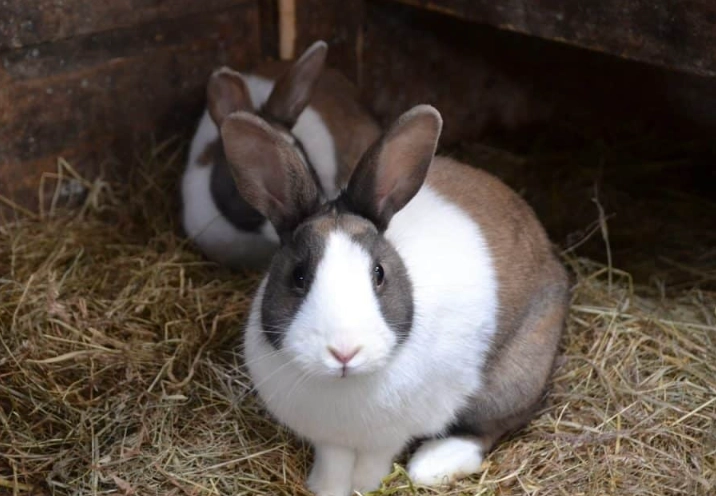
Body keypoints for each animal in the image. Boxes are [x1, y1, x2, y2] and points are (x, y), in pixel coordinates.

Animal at [220, 104, 570, 495]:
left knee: (490, 427)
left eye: (379, 273)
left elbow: (374, 461)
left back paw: (431, 465)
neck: (345, 384)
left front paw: (366, 486)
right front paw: (325, 488)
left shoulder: (390, 437)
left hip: (515, 377)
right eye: (298, 276)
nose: (344, 352)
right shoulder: (329, 441)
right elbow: (333, 462)